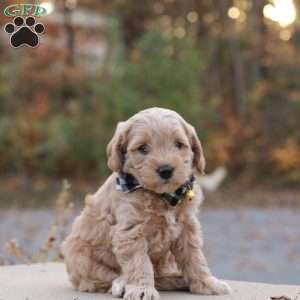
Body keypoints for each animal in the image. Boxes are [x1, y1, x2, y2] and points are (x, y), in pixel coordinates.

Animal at [60, 108, 230, 300]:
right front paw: (142, 289)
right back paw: (121, 284)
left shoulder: (187, 227)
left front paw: (206, 283)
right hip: (78, 254)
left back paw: (176, 279)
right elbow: (139, 263)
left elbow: (195, 257)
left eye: (179, 144)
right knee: (103, 278)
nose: (166, 170)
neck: (162, 196)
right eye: (142, 148)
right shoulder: (130, 231)